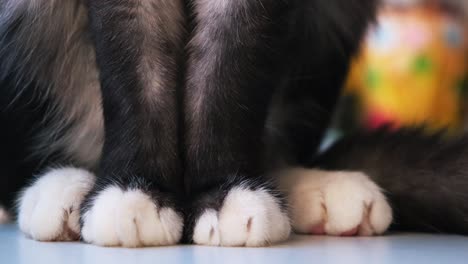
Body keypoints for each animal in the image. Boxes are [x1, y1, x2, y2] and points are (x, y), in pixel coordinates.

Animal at [0, 0, 396, 248]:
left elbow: (229, 73)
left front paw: (223, 190)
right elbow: (135, 74)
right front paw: (135, 188)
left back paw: (317, 188)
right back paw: (59, 190)